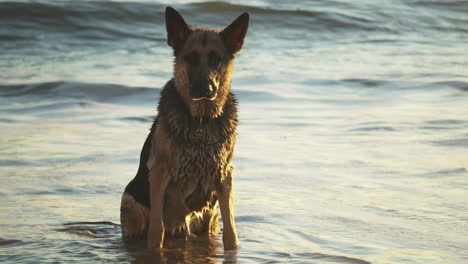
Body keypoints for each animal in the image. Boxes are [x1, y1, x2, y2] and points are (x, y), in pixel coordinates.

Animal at [119, 5, 249, 250]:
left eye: (216, 59)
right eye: (191, 58)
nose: (205, 89)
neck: (201, 122)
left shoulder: (224, 177)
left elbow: (231, 233)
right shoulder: (159, 174)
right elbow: (157, 231)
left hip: (209, 219)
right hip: (132, 205)